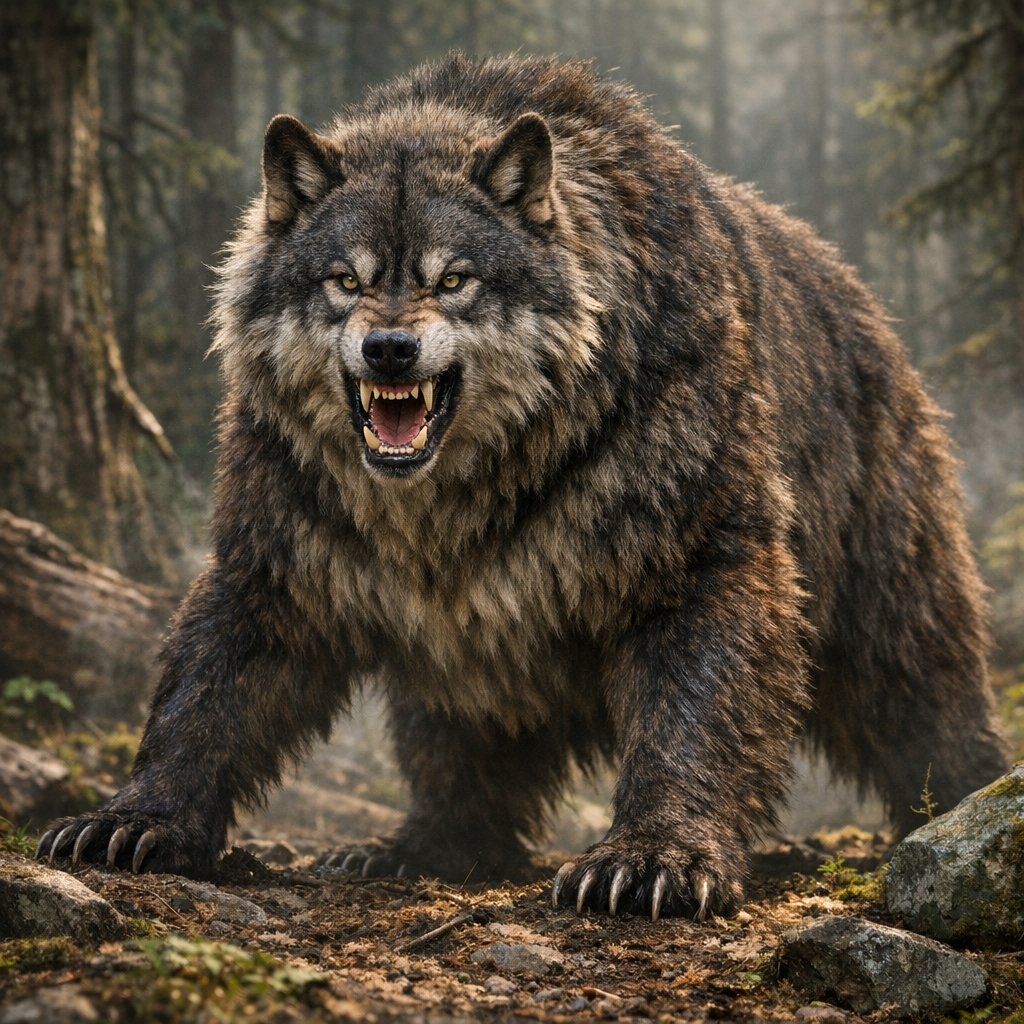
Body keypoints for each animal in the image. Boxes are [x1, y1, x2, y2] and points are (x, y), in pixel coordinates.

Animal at [37, 53, 1008, 921]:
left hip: (890, 606)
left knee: (931, 708)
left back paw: (971, 808)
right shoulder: (279, 548)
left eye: (453, 279)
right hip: (447, 666)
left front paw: (653, 857)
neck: (462, 493)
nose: (389, 350)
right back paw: (414, 845)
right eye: (345, 279)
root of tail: (871, 311)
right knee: (455, 762)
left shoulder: (697, 552)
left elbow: (692, 713)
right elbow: (206, 695)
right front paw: (133, 819)